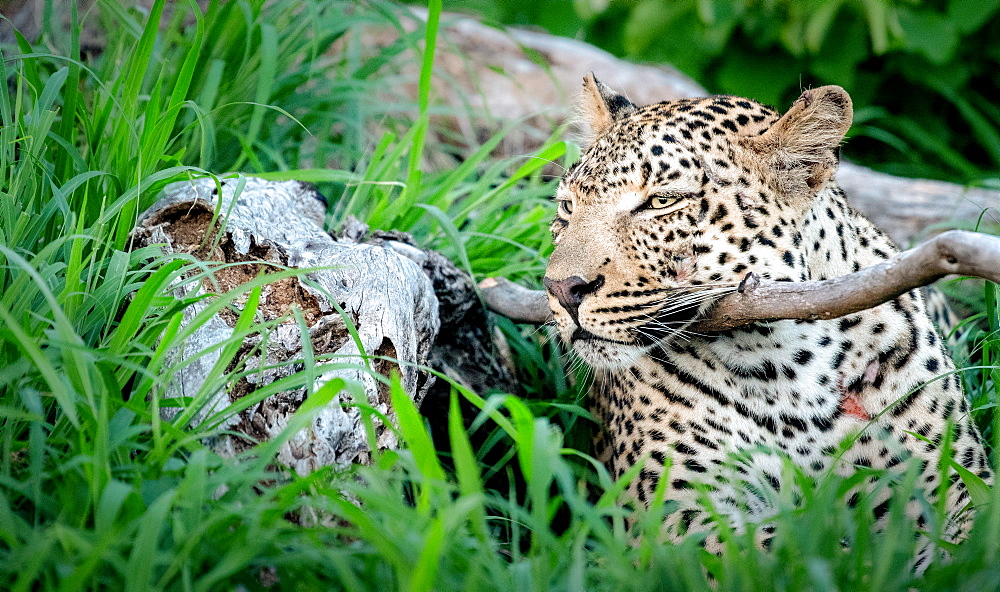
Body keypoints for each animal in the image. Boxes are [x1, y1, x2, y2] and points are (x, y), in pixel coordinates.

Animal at [548, 71, 992, 568]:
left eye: (660, 202)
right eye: (567, 207)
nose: (560, 288)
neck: (790, 364)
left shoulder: (957, 488)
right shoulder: (678, 516)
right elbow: (785, 552)